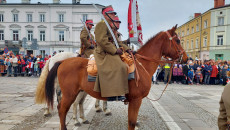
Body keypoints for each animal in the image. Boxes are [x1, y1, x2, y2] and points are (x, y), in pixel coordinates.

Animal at [45, 24, 189, 129]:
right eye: (177, 40)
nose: (186, 58)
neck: (142, 65)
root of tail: (62, 61)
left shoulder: (133, 101)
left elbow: (131, 121)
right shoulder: (136, 100)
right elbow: (131, 122)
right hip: (70, 94)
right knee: (62, 109)